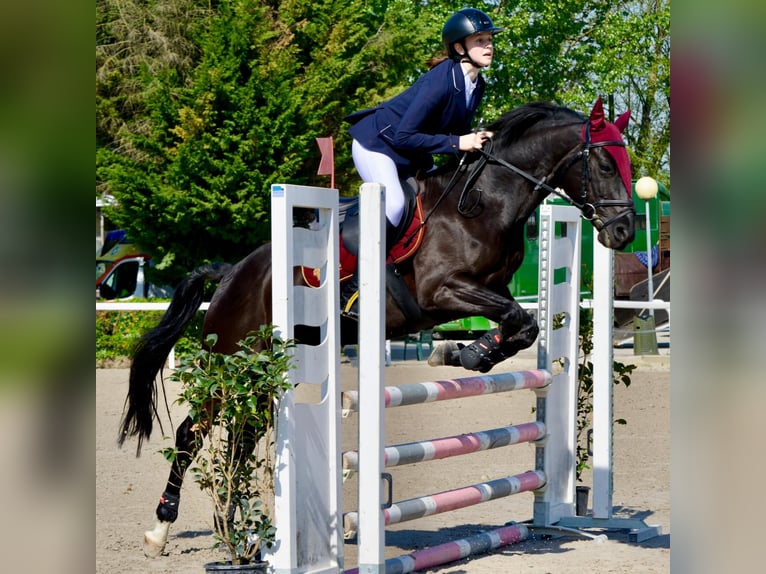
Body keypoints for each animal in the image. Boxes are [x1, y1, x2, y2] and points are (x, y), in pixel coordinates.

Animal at [118, 98, 636, 560]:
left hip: (263, 376)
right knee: (192, 434)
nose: (624, 233)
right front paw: (466, 354)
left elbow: (523, 325)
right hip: (231, 363)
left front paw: (466, 354)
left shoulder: (486, 290)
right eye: (605, 164)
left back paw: (239, 530)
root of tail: (231, 273)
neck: (486, 202)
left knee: (242, 440)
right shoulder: (440, 291)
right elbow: (516, 319)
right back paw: (161, 530)